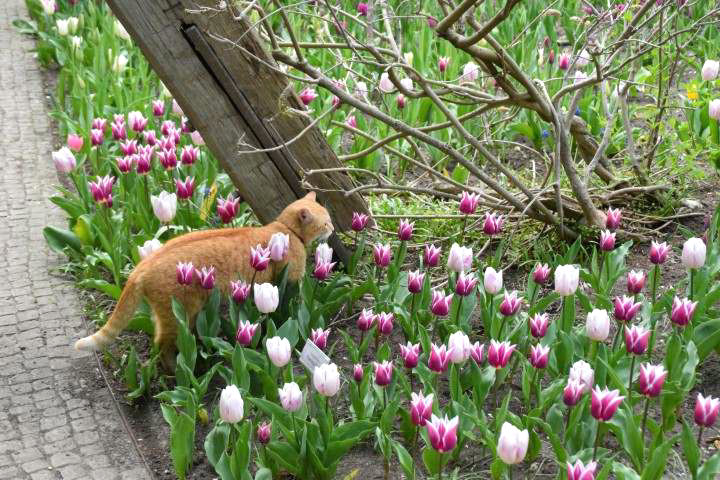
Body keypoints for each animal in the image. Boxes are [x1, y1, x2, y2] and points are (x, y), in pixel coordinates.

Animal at [74, 191, 334, 364]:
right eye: (325, 222)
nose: (332, 229)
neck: (285, 230)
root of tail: (143, 266)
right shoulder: (290, 281)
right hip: (180, 314)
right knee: (162, 345)